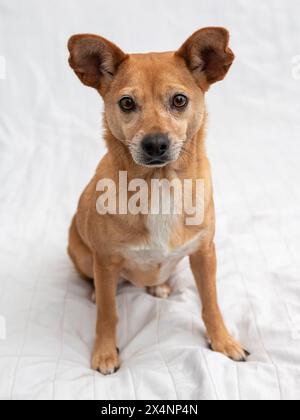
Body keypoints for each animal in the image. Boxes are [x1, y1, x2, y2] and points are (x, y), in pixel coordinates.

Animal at [67, 27, 248, 374]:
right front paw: (105, 352)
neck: (159, 184)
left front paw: (223, 342)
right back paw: (95, 292)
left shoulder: (204, 253)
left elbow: (211, 303)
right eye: (126, 103)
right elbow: (108, 314)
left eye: (179, 100)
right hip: (82, 254)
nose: (155, 144)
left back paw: (159, 285)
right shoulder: (105, 260)